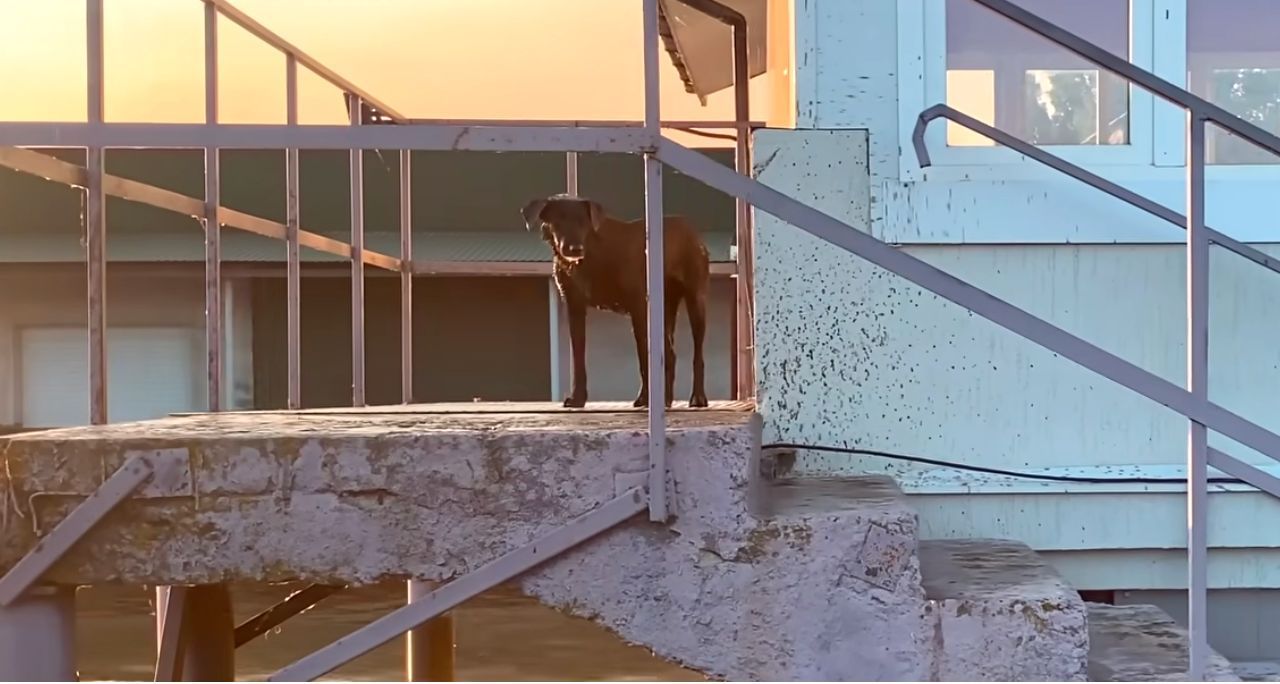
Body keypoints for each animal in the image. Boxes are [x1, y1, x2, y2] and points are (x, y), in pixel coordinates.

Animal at [524, 193, 716, 409]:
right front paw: (578, 398)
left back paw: (695, 397)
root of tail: (690, 228)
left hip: (695, 302)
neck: (592, 252)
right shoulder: (575, 308)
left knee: (695, 355)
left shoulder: (640, 309)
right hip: (666, 310)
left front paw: (649, 398)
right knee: (670, 355)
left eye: (583, 222)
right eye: (558, 220)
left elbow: (645, 358)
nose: (575, 249)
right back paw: (665, 398)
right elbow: (578, 358)